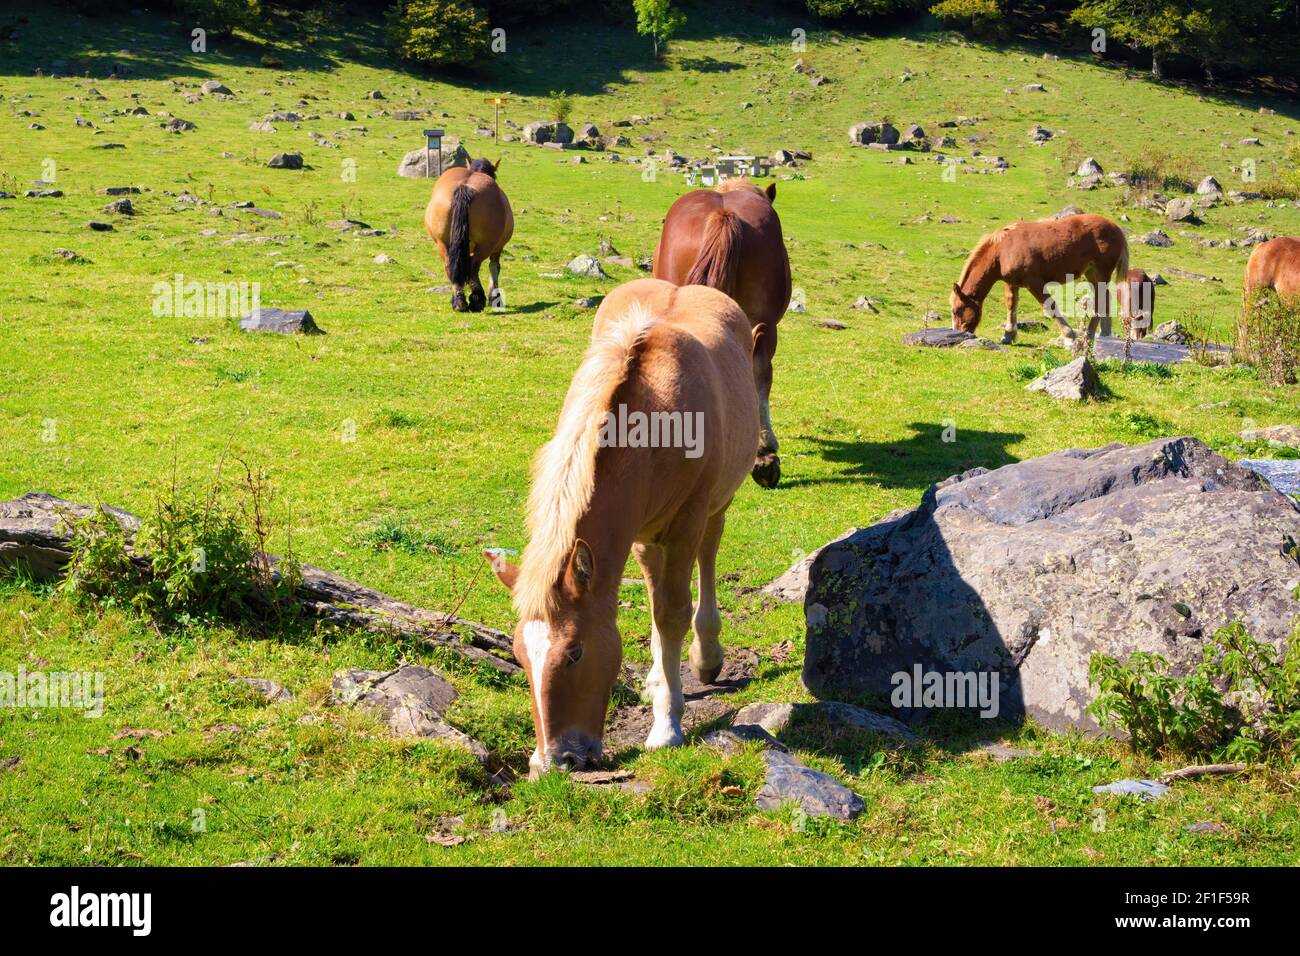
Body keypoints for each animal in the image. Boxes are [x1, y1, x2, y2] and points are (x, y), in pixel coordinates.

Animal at [421, 157, 512, 312]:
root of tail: (465, 187)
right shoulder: (497, 248)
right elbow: (494, 267)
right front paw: (494, 297)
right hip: (486, 245)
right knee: (474, 267)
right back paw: (477, 301)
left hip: (442, 243)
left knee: (451, 266)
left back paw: (459, 301)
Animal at [483, 277, 759, 780]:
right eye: (518, 654)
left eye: (575, 652)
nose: (555, 762)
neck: (657, 413)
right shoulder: (638, 530)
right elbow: (656, 610)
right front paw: (660, 686)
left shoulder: (688, 520)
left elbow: (673, 611)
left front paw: (667, 726)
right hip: (646, 535)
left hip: (715, 506)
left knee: (708, 555)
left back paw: (704, 655)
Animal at [951, 212, 1133, 343]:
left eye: (957, 310)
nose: (959, 333)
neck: (1002, 250)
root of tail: (1116, 229)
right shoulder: (1011, 283)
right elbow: (1011, 305)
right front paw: (1009, 335)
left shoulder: (1035, 283)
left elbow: (1049, 306)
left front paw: (1069, 335)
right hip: (1092, 274)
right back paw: (1102, 334)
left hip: (1101, 273)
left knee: (1101, 301)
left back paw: (1088, 335)